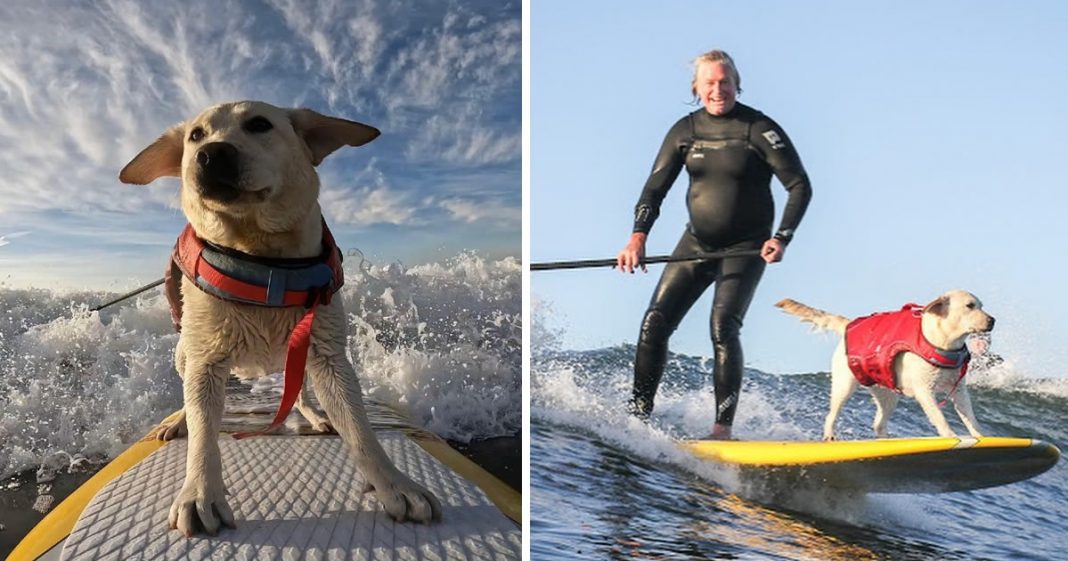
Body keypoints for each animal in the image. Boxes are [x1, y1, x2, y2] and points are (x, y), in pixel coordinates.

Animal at [121, 101, 442, 538]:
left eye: (259, 124)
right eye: (195, 136)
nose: (211, 154)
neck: (262, 259)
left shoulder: (327, 352)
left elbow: (360, 430)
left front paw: (395, 485)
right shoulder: (205, 359)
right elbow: (204, 434)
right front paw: (200, 492)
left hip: (300, 354)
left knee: (301, 392)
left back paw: (315, 415)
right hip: (183, 351)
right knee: (190, 396)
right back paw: (179, 422)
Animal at [777, 290, 991, 440]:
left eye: (981, 305)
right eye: (970, 305)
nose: (993, 320)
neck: (944, 343)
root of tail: (849, 325)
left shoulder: (959, 390)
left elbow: (970, 417)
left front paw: (980, 436)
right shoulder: (925, 390)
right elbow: (939, 417)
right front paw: (951, 436)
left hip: (887, 393)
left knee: (879, 424)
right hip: (845, 384)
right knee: (832, 414)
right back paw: (829, 435)